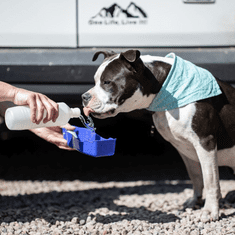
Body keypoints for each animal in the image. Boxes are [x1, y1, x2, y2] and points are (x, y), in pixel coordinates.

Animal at [81, 50, 235, 222]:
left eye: (107, 82)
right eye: (95, 81)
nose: (84, 97)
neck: (165, 91)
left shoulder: (205, 142)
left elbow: (210, 180)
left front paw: (210, 210)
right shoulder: (185, 148)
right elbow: (196, 175)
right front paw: (195, 201)